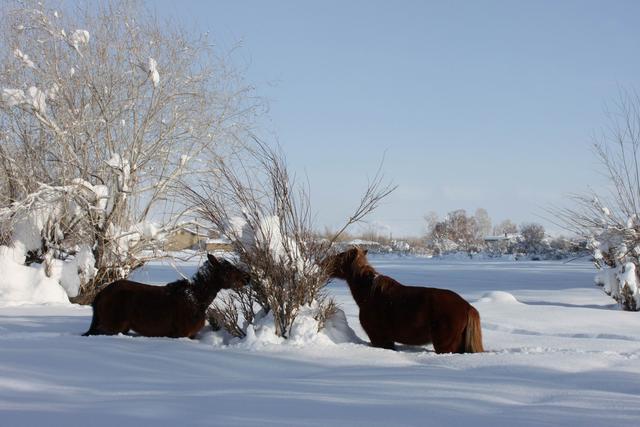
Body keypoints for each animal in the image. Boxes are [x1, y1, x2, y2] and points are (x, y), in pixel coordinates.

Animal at [87, 254, 250, 342]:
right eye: (228, 269)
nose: (247, 278)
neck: (196, 299)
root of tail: (101, 294)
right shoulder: (181, 334)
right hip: (113, 327)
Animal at [324, 247, 484, 354]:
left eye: (340, 257)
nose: (323, 263)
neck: (370, 293)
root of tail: (467, 306)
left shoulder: (379, 338)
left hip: (446, 346)